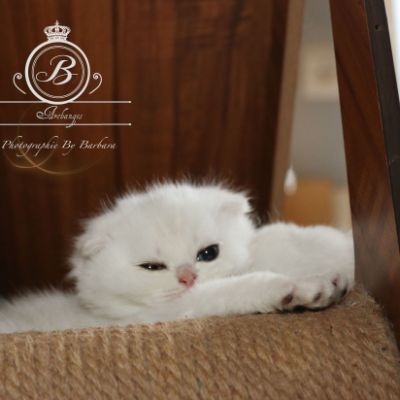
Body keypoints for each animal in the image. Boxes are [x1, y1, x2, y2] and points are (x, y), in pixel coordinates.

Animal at [0, 182, 354, 333]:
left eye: (208, 253)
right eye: (152, 267)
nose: (188, 277)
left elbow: (281, 236)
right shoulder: (166, 312)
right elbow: (236, 288)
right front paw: (304, 288)